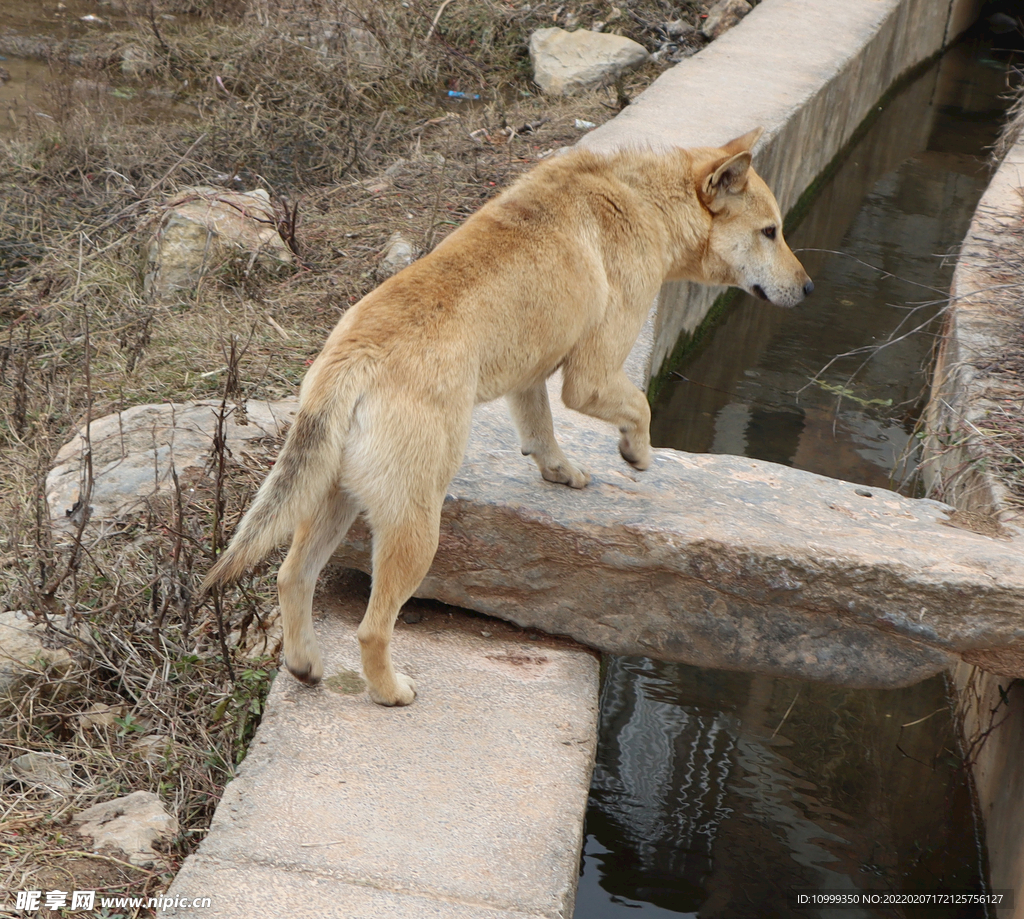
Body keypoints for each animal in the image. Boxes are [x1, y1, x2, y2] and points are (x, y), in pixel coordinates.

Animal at [201, 127, 806, 704]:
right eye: (770, 232)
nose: (810, 286)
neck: (646, 197)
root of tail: (354, 356)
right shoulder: (590, 376)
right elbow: (638, 405)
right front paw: (637, 453)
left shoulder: (530, 373)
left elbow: (540, 429)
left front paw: (560, 470)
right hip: (416, 525)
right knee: (372, 628)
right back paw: (391, 691)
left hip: (334, 500)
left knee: (291, 576)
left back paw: (304, 663)